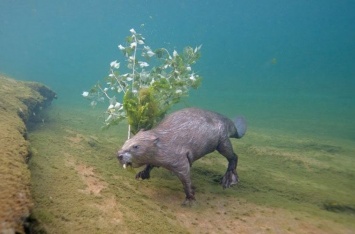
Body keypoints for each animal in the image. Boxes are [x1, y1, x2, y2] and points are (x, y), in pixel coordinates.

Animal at [117, 108, 248, 205]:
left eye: (135, 146)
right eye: (126, 141)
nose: (119, 155)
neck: (164, 141)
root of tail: (232, 124)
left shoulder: (178, 158)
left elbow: (185, 177)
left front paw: (190, 199)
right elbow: (151, 164)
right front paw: (141, 174)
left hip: (222, 141)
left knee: (233, 156)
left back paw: (229, 180)